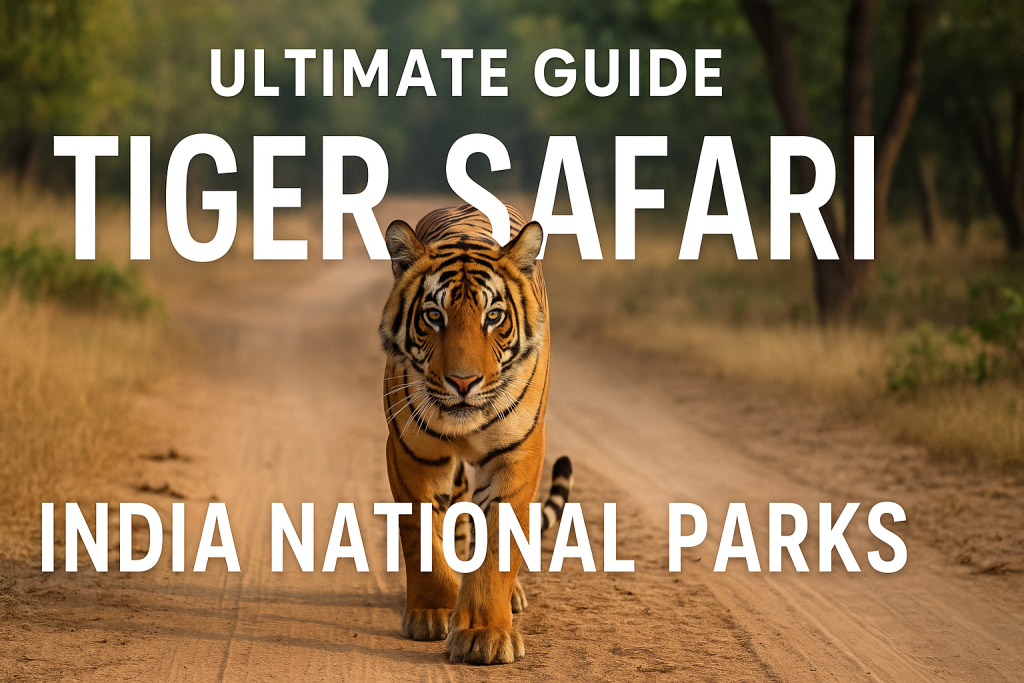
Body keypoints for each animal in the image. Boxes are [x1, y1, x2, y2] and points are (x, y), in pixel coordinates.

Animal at [379, 203, 573, 665]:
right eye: (434, 316)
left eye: (494, 317)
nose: (463, 382)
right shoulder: (411, 454)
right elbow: (422, 536)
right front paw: (432, 610)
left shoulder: (516, 455)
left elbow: (499, 543)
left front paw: (485, 634)